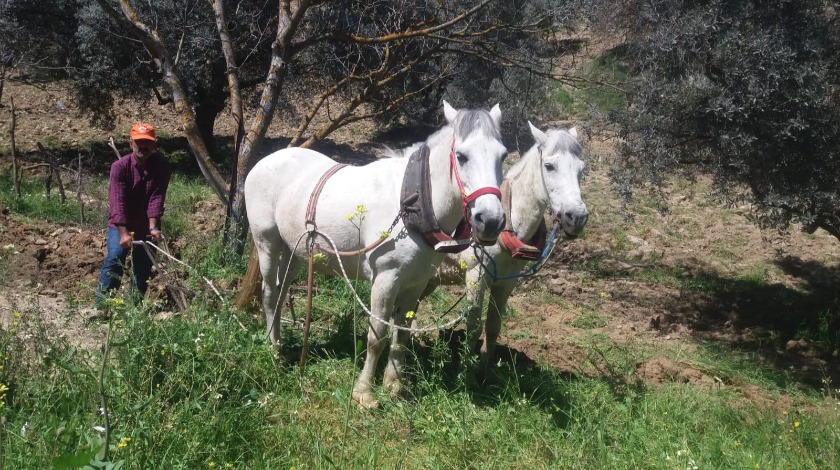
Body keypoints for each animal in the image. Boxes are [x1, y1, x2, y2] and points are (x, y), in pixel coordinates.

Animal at [243, 100, 506, 408]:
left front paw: (394, 385)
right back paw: (274, 351)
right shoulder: (385, 280)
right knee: (269, 294)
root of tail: (264, 161)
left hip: (294, 252)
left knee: (282, 290)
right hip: (268, 242)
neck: (411, 206)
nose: (490, 220)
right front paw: (364, 392)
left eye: (503, 156)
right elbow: (377, 335)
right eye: (462, 156)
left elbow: (402, 333)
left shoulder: (416, 284)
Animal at [424, 123, 588, 376]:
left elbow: (493, 326)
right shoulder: (475, 277)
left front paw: (483, 371)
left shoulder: (506, 283)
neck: (510, 227)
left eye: (582, 169)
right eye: (549, 166)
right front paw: (465, 372)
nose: (577, 218)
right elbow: (473, 326)